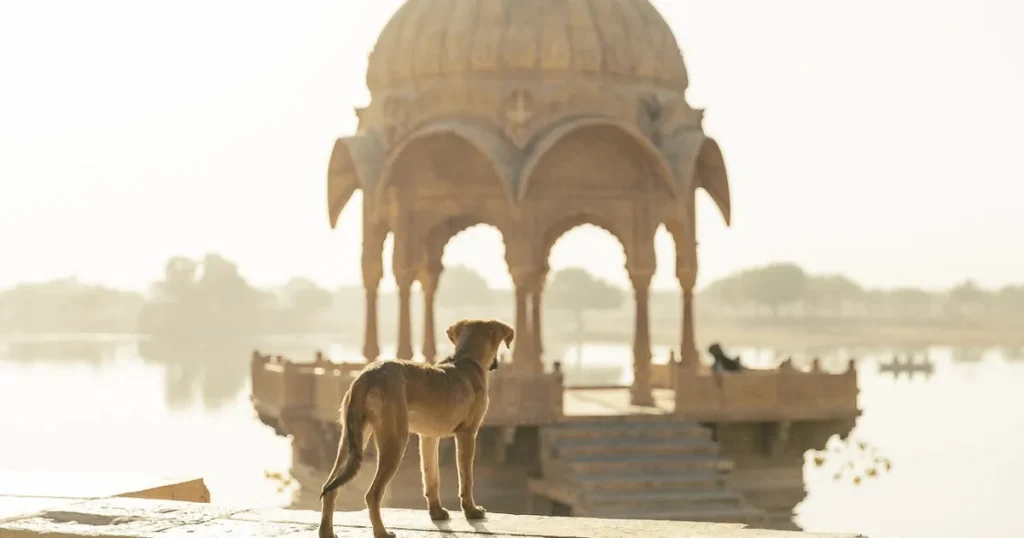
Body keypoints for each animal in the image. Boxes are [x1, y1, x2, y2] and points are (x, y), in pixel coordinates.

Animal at [317, 317, 512, 536]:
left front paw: (436, 512)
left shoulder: (428, 437)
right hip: (394, 441)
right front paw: (471, 511)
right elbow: (466, 479)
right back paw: (382, 532)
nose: (496, 364)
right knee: (372, 494)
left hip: (350, 440)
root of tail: (368, 375)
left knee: (330, 487)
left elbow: (431, 477)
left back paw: (326, 532)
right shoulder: (467, 434)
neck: (466, 361)